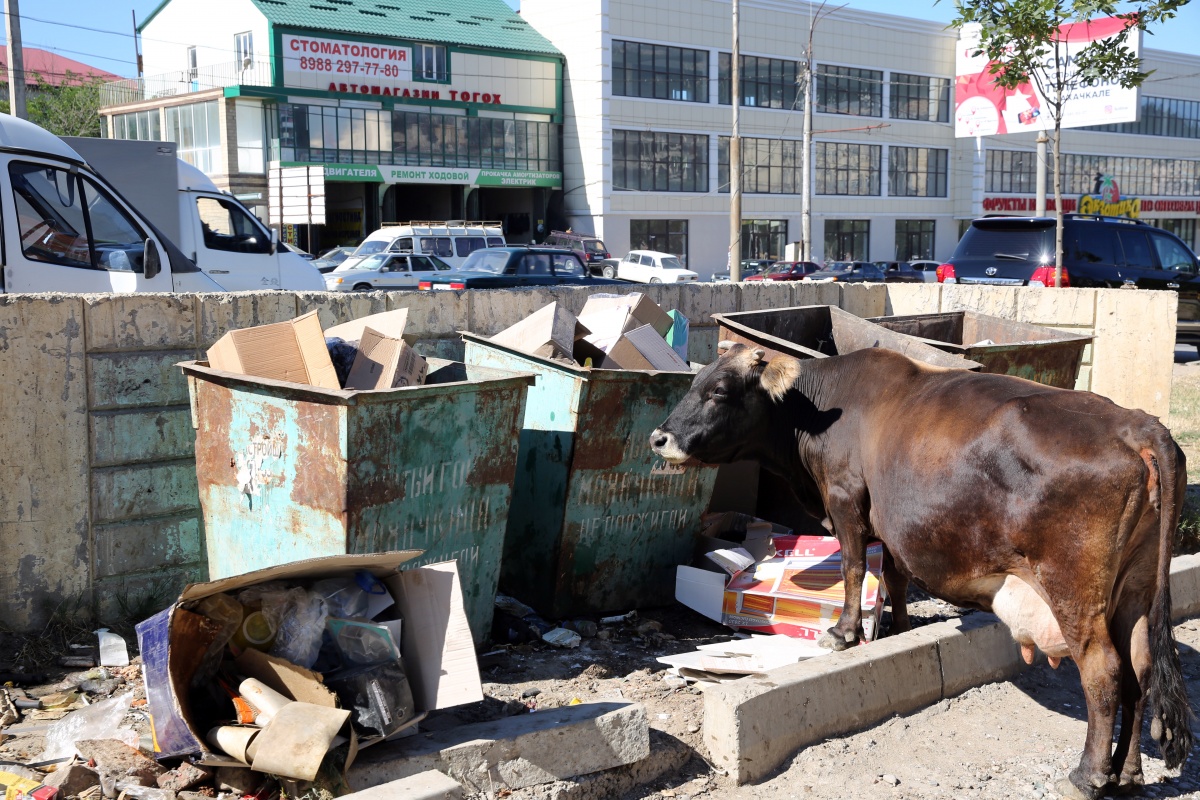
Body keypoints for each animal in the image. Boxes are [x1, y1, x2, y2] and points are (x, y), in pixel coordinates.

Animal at [652, 345, 1195, 800]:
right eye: (694, 382)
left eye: (719, 390)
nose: (659, 437)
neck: (820, 412)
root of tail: (1137, 424)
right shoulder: (891, 526)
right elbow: (893, 577)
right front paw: (899, 626)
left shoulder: (846, 501)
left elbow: (854, 566)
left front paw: (843, 632)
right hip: (1135, 587)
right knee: (1139, 668)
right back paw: (1127, 773)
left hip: (1073, 587)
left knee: (1104, 671)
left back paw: (1088, 775)